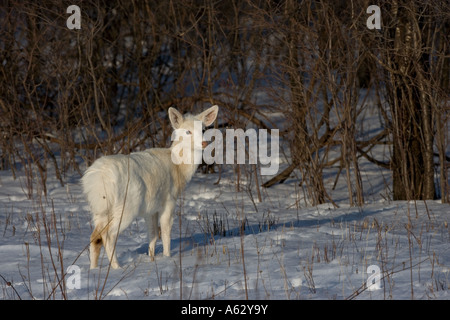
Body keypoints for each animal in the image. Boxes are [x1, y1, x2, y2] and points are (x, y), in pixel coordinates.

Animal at [83, 105, 221, 268]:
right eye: (188, 131)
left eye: (204, 129)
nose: (204, 143)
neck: (178, 169)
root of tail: (97, 179)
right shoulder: (169, 200)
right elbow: (166, 231)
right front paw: (167, 257)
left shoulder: (151, 208)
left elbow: (153, 234)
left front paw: (152, 259)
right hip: (126, 206)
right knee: (108, 235)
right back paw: (117, 267)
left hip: (99, 209)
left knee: (95, 236)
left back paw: (93, 269)